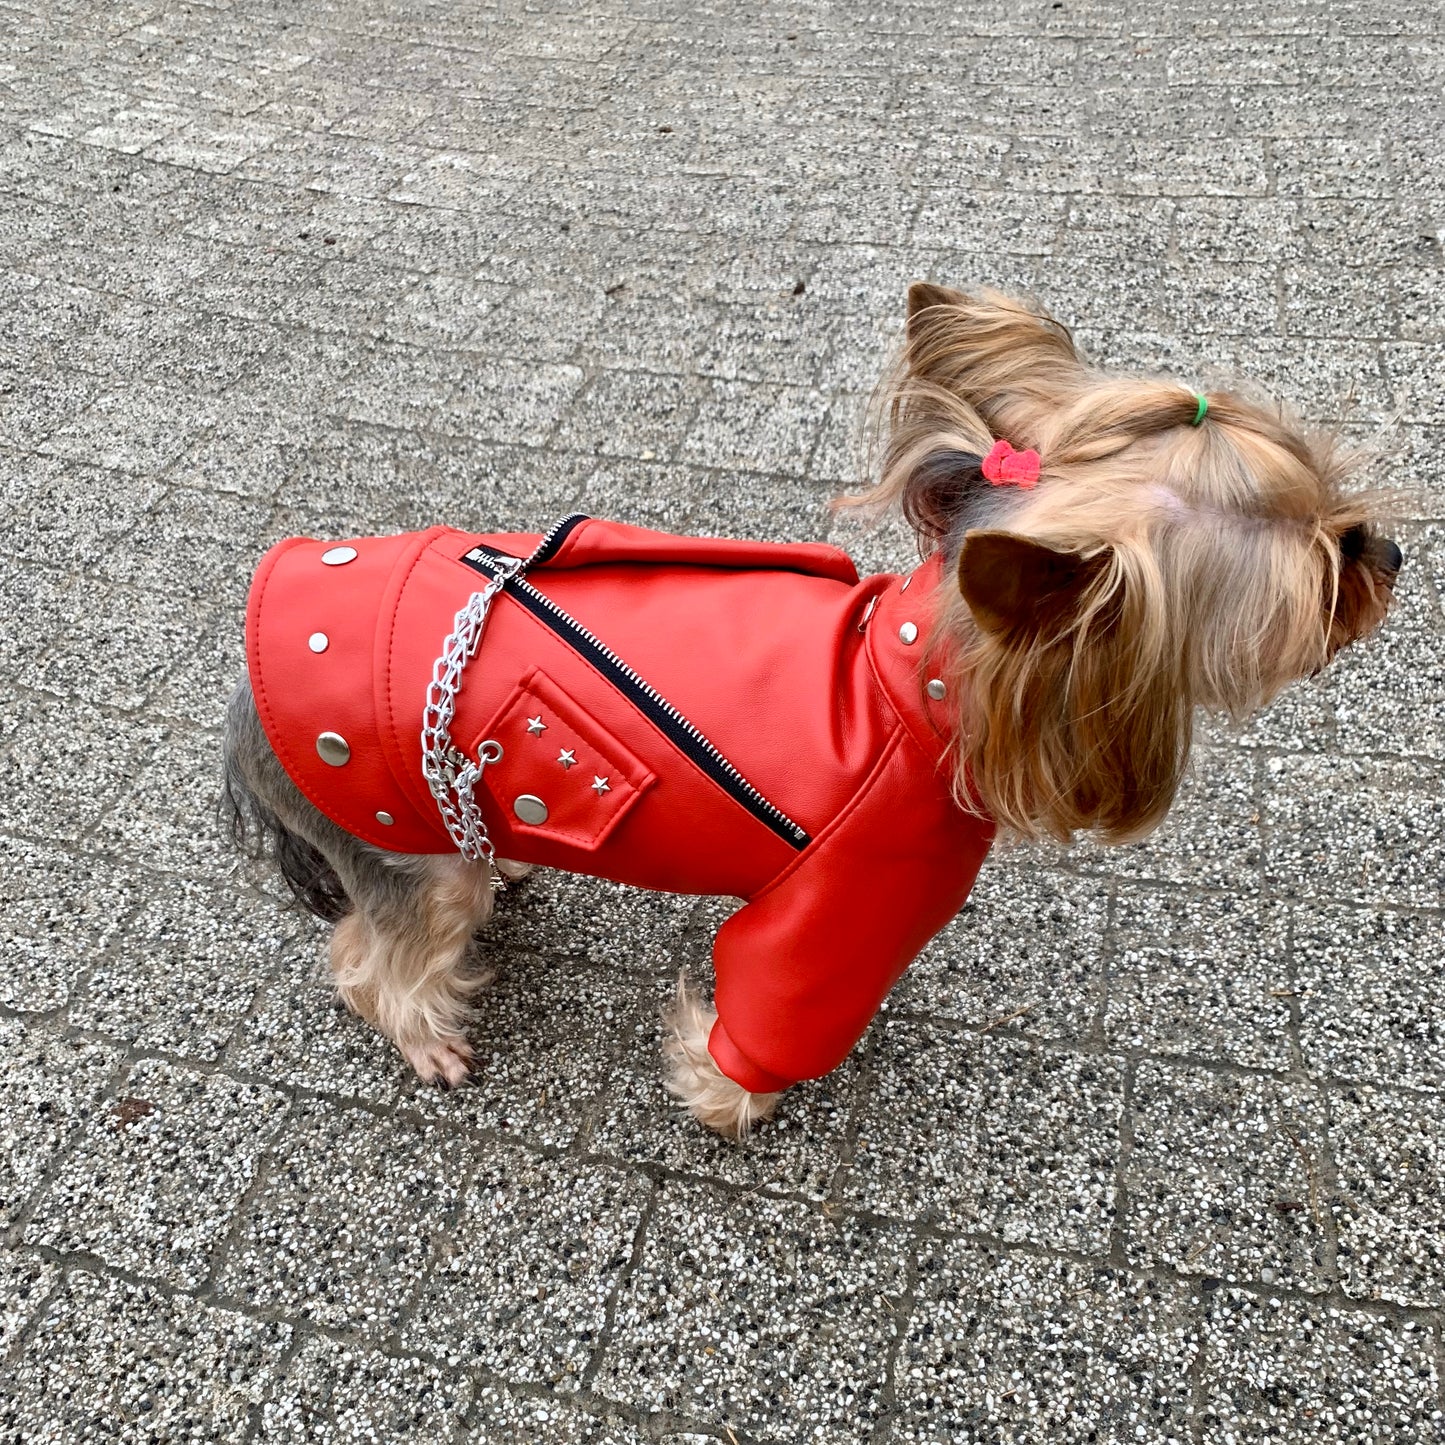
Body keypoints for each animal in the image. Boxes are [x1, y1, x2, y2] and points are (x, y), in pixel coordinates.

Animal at [222, 284, 1398, 1138]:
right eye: (1313, 576)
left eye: (1336, 501)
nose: (1384, 552)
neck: (915, 683)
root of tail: (245, 694)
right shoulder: (841, 900)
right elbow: (780, 1000)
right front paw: (722, 1092)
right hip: (398, 848)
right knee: (371, 954)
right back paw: (426, 1030)